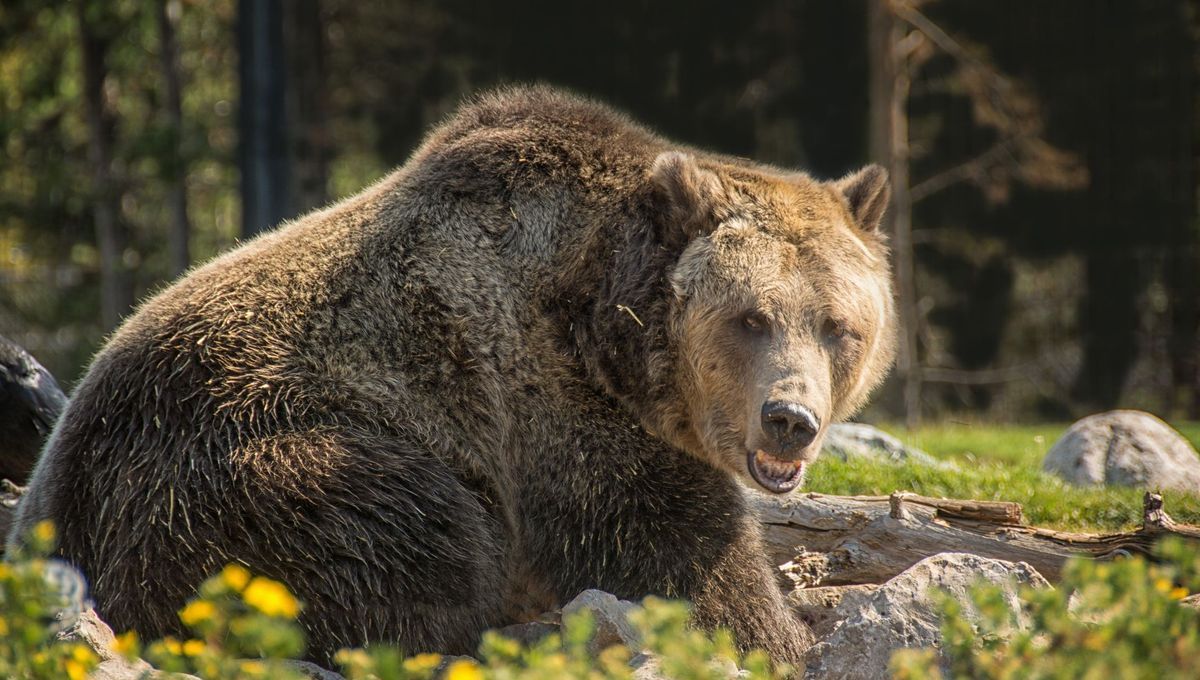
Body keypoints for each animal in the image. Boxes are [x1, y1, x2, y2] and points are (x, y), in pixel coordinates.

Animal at [8, 86, 896, 667]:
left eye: (839, 327)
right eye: (749, 317)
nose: (790, 419)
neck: (607, 322)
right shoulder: (552, 408)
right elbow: (680, 558)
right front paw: (780, 633)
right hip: (236, 472)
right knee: (419, 536)